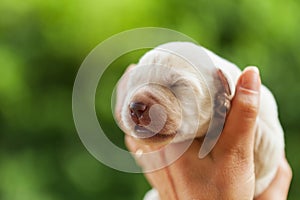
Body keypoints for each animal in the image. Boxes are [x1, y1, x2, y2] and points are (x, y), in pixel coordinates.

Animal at [116, 41, 284, 198]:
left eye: (177, 85)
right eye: (133, 84)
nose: (136, 107)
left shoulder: (271, 141)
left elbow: (262, 141)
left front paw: (223, 105)